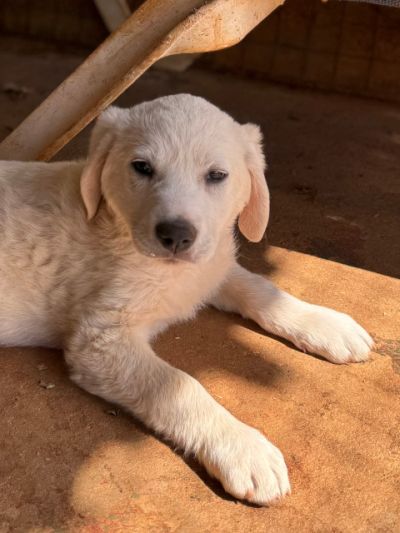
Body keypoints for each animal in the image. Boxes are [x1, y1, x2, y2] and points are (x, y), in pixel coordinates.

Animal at [0, 94, 373, 505]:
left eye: (216, 175)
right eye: (142, 167)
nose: (176, 235)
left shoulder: (211, 266)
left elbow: (261, 288)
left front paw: (325, 323)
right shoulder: (99, 340)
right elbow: (180, 385)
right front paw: (243, 447)